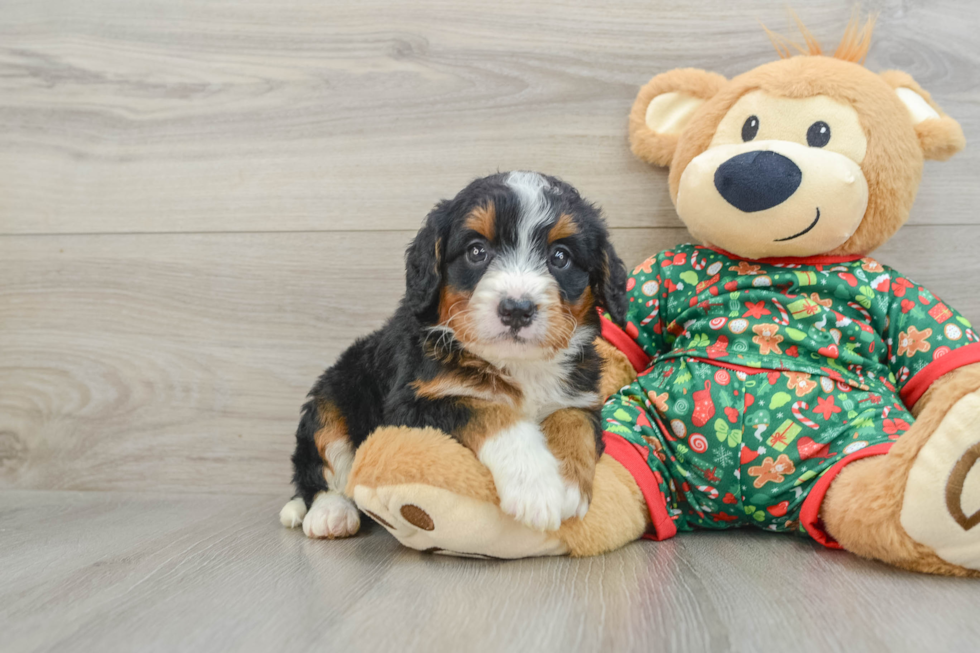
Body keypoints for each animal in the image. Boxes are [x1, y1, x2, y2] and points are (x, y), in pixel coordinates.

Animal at [280, 171, 624, 536]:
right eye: (477, 251)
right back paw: (330, 512)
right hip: (331, 396)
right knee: (321, 467)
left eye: (560, 257)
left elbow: (573, 422)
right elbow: (489, 410)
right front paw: (536, 486)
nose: (517, 309)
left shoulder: (582, 397)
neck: (514, 364)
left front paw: (569, 485)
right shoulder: (415, 403)